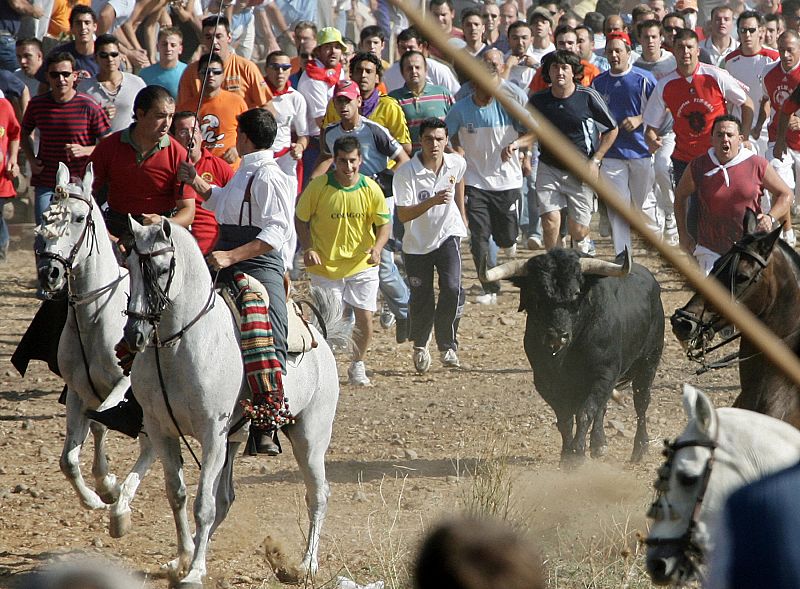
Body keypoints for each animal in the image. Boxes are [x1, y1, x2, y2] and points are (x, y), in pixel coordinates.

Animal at [34, 162, 156, 524]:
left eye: (77, 218)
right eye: (46, 216)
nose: (50, 273)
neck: (96, 317)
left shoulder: (122, 385)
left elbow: (104, 418)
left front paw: (111, 486)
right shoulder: (78, 390)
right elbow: (69, 458)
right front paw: (98, 494)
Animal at [123, 217, 342, 588]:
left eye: (162, 268)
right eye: (127, 266)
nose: (134, 334)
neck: (179, 346)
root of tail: (320, 339)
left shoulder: (212, 434)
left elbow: (203, 505)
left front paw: (195, 571)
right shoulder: (162, 429)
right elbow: (178, 494)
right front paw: (183, 558)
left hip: (310, 438)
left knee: (318, 494)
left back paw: (306, 565)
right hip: (236, 440)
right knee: (226, 499)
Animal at [484, 246, 664, 462]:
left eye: (577, 292)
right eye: (536, 294)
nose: (557, 335)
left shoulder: (604, 374)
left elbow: (585, 413)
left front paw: (577, 455)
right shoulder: (545, 380)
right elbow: (565, 418)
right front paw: (566, 455)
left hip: (649, 361)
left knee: (641, 402)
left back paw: (639, 449)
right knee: (603, 407)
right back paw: (599, 444)